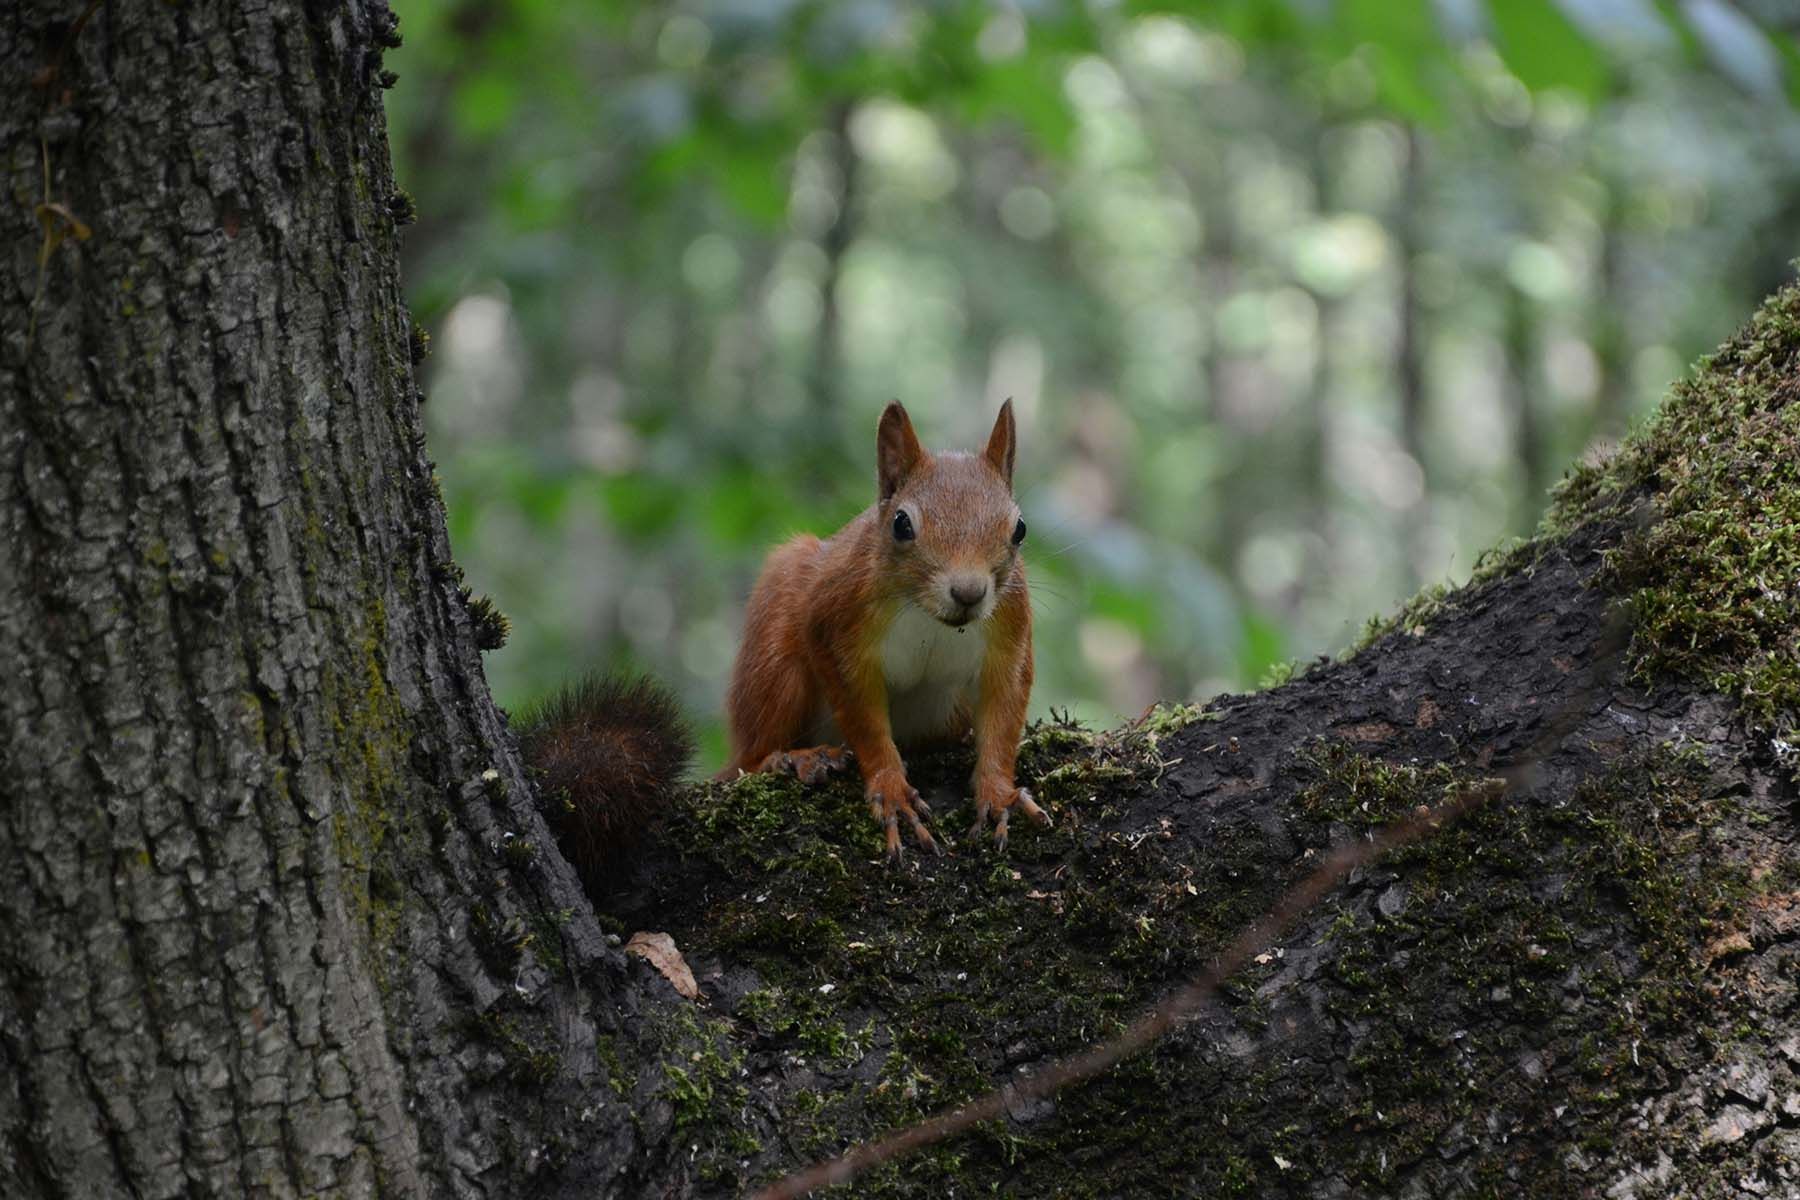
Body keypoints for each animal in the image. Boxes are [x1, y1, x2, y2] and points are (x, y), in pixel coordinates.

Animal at [720, 400, 1047, 860]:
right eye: (901, 524)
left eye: (1019, 529)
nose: (969, 593)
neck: (928, 614)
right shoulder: (836, 618)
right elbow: (865, 721)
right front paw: (891, 790)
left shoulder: (1010, 629)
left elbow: (1004, 714)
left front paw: (999, 793)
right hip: (774, 660)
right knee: (750, 755)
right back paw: (793, 758)